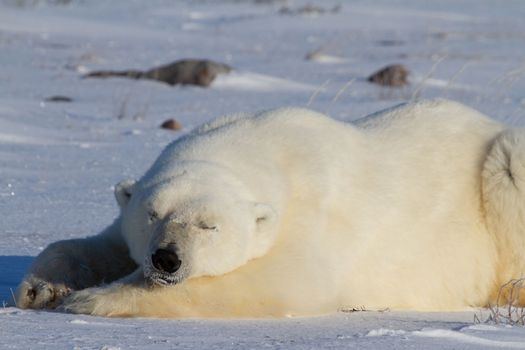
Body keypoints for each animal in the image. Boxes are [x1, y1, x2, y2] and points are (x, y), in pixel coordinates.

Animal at [15, 98, 524, 318]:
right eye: (153, 214)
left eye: (209, 225)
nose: (166, 259)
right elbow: (101, 244)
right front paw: (43, 288)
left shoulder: (315, 216)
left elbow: (282, 281)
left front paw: (91, 299)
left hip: (500, 168)